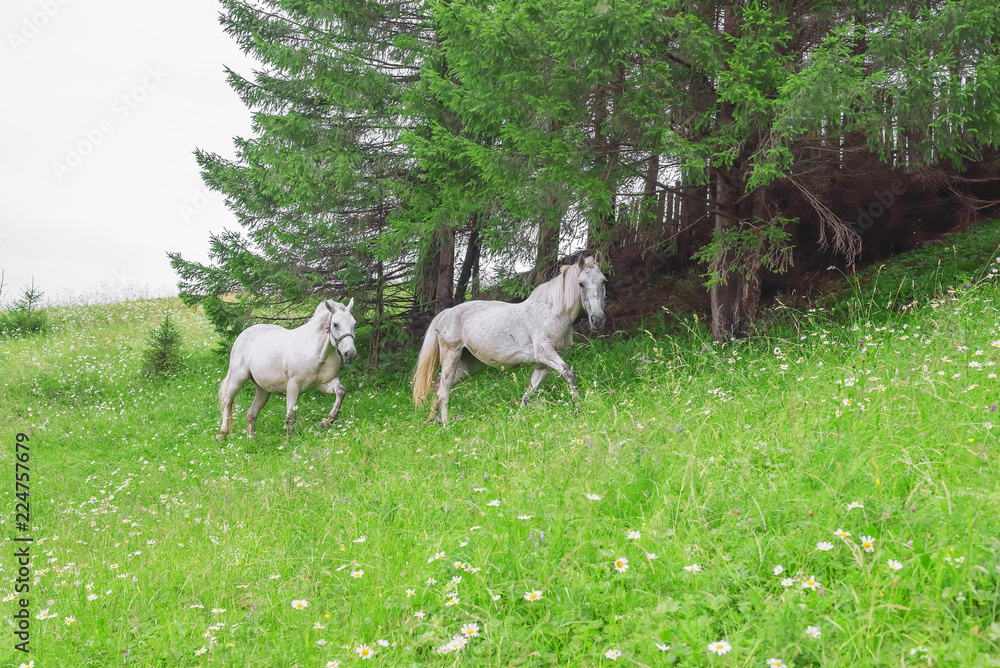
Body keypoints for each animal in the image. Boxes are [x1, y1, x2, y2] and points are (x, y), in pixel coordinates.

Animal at [216, 298, 358, 440]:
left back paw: (251, 440)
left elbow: (341, 391)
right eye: (335, 324)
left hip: (262, 389)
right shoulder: (293, 385)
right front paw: (289, 442)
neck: (317, 353)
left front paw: (326, 421)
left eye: (354, 324)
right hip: (238, 379)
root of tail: (243, 333)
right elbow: (290, 416)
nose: (350, 354)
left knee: (251, 413)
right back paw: (222, 434)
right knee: (227, 402)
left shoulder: (324, 383)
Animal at [413, 253, 607, 423]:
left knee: (437, 388)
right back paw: (446, 425)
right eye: (581, 283)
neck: (551, 312)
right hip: (451, 358)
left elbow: (528, 393)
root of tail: (446, 314)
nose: (598, 320)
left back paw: (432, 422)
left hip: (466, 367)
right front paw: (578, 409)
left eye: (603, 281)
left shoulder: (542, 365)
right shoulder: (546, 353)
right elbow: (569, 373)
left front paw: (519, 419)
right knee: (443, 393)